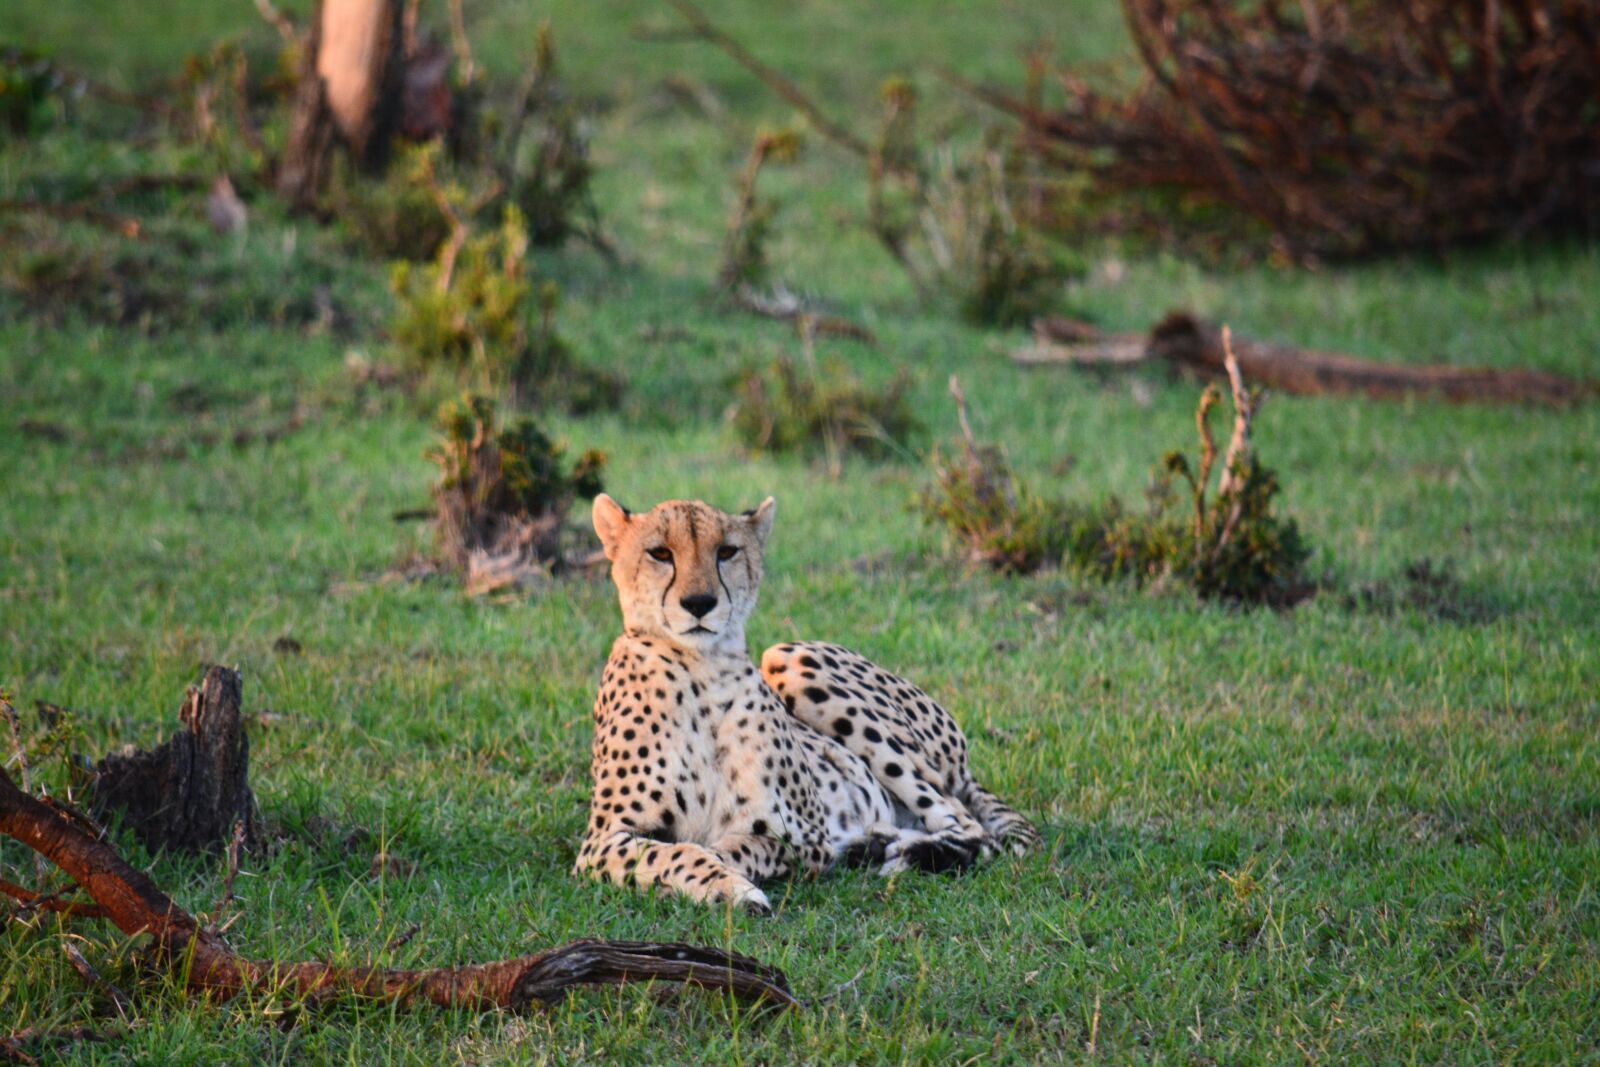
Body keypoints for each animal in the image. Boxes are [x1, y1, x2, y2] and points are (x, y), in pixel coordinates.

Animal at [573, 493, 1040, 913]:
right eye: (659, 553)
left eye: (726, 551)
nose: (700, 603)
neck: (701, 671)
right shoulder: (601, 842)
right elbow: (674, 852)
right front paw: (729, 887)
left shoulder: (805, 837)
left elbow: (734, 846)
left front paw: (731, 878)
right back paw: (876, 844)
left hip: (789, 657)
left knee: (968, 824)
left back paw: (899, 850)